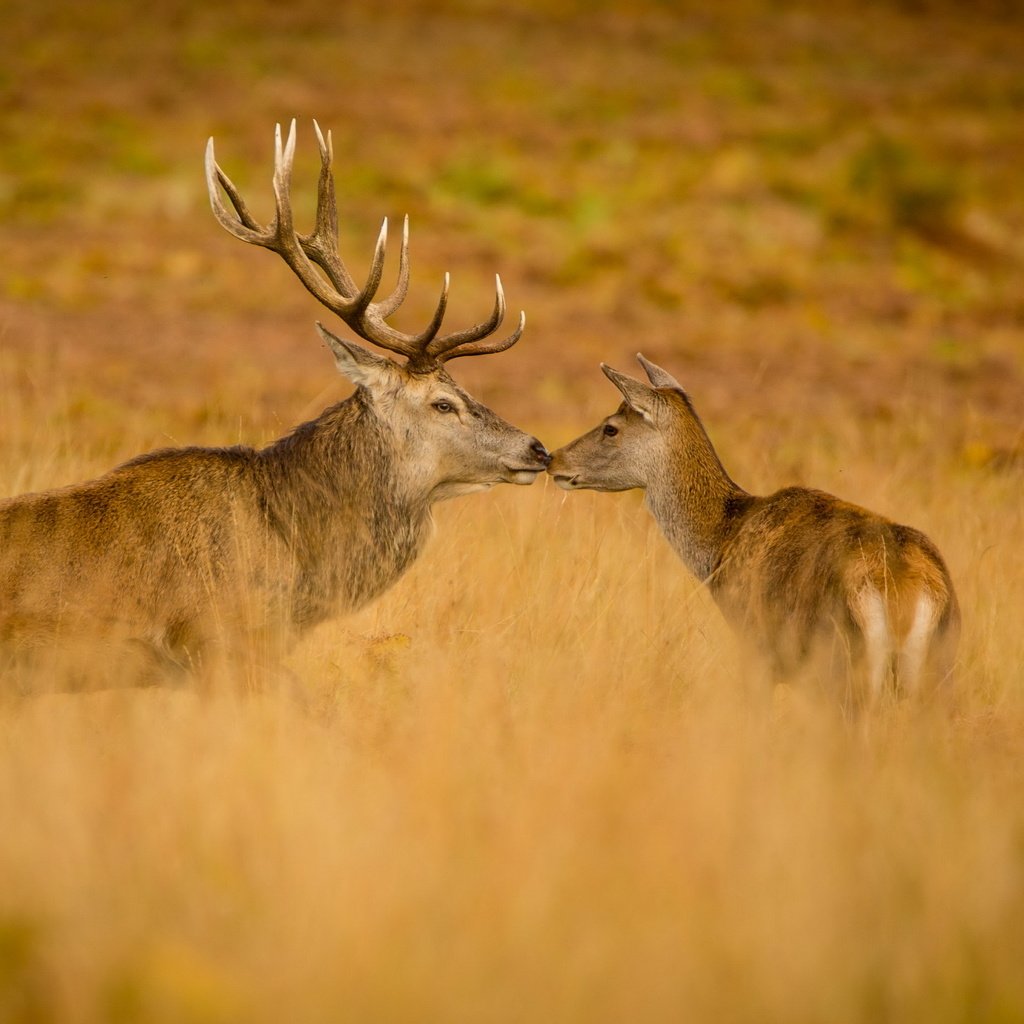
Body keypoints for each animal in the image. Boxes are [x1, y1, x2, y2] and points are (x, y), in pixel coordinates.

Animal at [552, 356, 958, 708]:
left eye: (611, 427)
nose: (554, 459)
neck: (721, 542)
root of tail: (907, 593)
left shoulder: (755, 646)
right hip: (939, 669)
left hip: (840, 664)